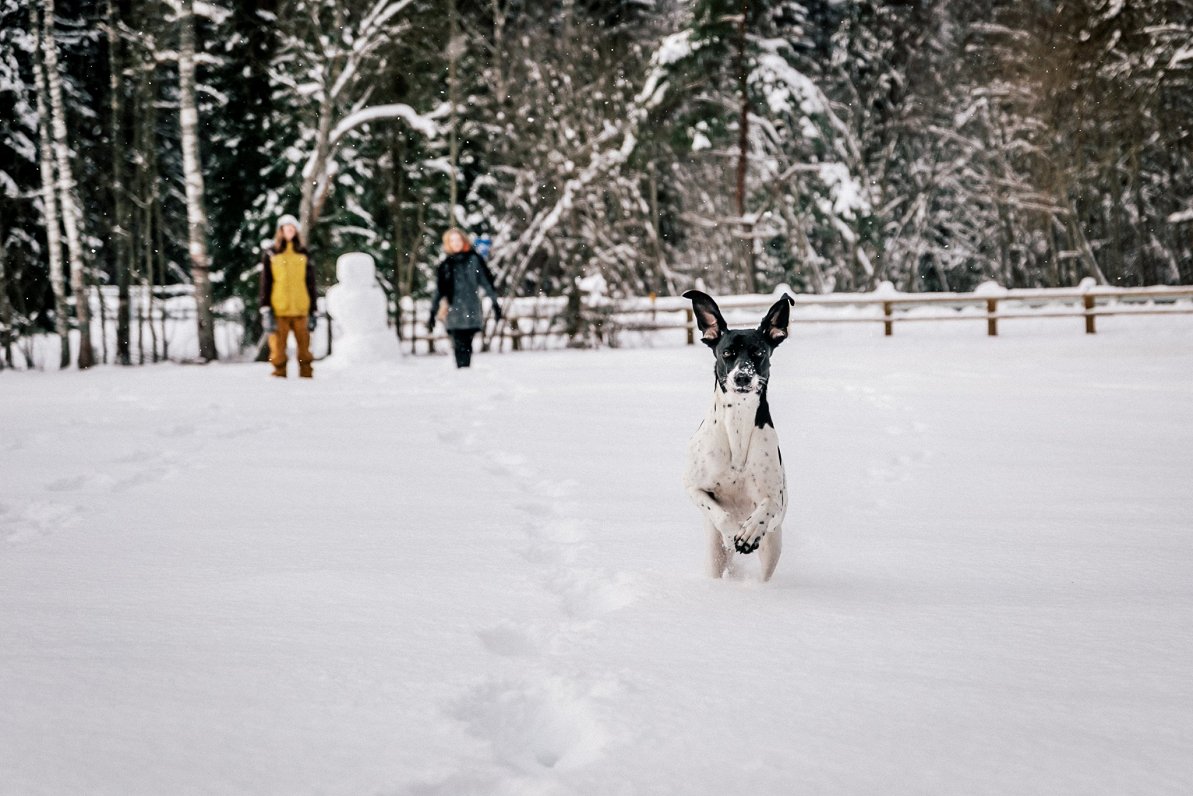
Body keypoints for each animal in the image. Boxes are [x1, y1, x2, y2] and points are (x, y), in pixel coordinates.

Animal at [682, 289, 792, 582]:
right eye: (727, 352)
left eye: (759, 352)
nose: (743, 377)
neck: (738, 425)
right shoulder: (693, 487)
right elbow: (720, 514)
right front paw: (734, 531)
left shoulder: (776, 499)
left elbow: (767, 506)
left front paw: (750, 531)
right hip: (713, 555)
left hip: (772, 549)